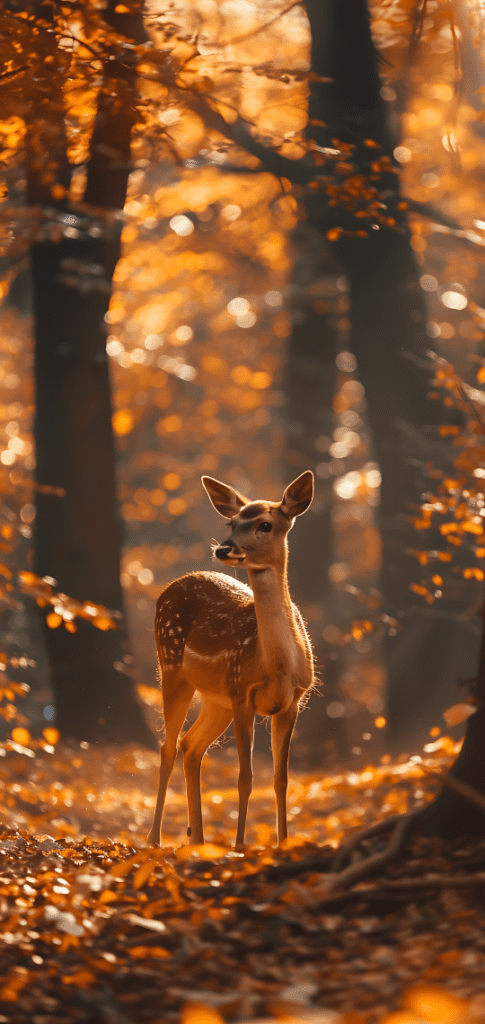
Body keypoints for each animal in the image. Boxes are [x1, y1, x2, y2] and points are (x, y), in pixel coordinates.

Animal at [146, 471, 315, 847]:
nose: (223, 548)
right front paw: (240, 847)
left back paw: (197, 839)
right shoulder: (242, 691)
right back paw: (155, 840)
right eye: (232, 522)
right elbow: (245, 778)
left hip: (215, 699)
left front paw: (283, 844)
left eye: (265, 524)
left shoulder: (293, 701)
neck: (276, 667)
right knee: (168, 748)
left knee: (191, 746)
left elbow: (281, 780)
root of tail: (168, 588)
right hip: (172, 666)